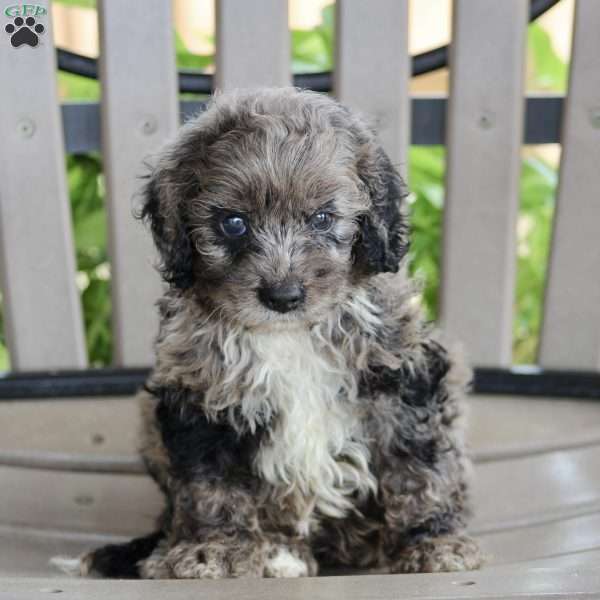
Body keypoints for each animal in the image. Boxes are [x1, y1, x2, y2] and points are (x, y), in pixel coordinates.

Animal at [64, 86, 482, 580]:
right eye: (233, 223)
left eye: (322, 219)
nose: (283, 295)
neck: (289, 334)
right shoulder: (202, 399)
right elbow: (212, 485)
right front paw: (215, 548)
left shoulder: (404, 379)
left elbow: (419, 467)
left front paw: (432, 539)